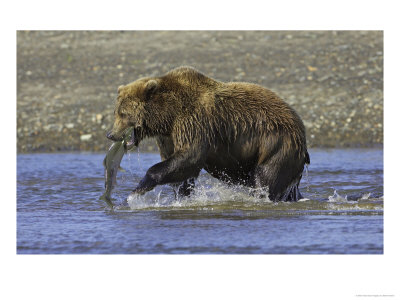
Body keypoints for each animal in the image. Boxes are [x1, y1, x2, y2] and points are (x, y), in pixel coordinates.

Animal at [107, 66, 310, 202]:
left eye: (123, 113)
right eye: (116, 111)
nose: (110, 134)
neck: (168, 116)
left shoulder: (194, 121)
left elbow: (190, 156)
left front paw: (137, 189)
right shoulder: (169, 136)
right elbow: (179, 167)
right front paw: (182, 196)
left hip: (277, 144)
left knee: (267, 179)